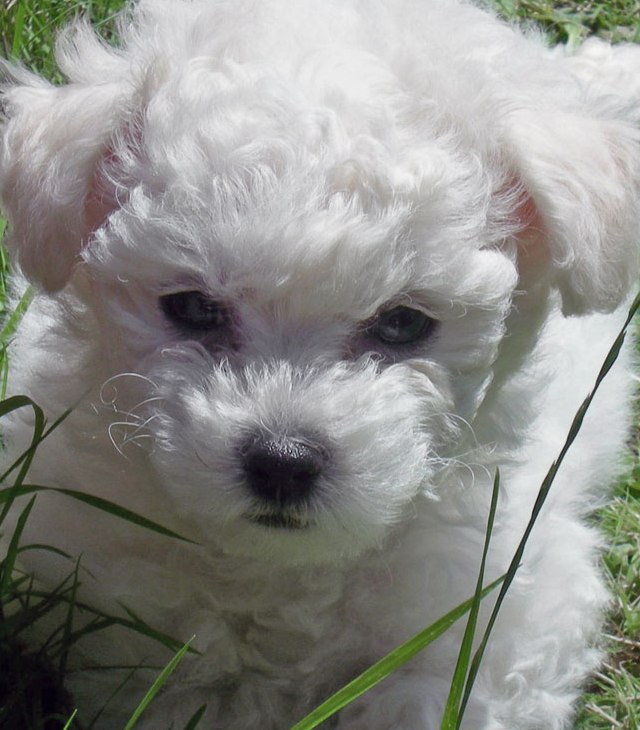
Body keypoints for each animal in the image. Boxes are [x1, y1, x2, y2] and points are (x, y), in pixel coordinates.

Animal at [1, 1, 640, 728]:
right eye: (192, 307)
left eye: (403, 323)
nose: (283, 462)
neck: (287, 571)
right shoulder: (129, 621)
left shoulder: (490, 618)